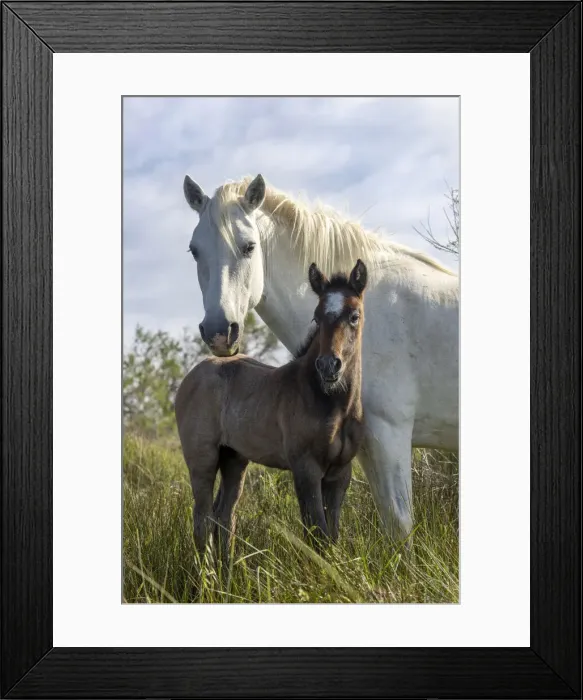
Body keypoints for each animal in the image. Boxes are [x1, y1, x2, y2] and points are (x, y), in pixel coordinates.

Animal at [175, 260, 367, 557]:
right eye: (316, 318)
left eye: (354, 316)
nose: (328, 366)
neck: (332, 404)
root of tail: (191, 376)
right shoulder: (305, 468)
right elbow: (316, 534)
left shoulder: (340, 472)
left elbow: (332, 536)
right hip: (202, 459)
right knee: (202, 519)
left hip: (233, 458)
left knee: (224, 515)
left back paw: (225, 571)